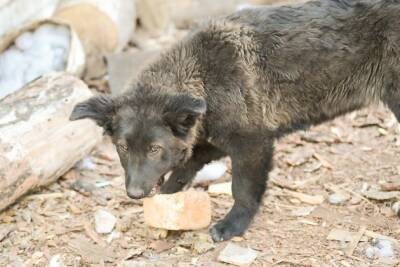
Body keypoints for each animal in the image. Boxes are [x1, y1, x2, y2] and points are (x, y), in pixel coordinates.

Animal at [69, 0, 400, 243]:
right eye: (122, 148)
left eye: (154, 149)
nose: (135, 194)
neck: (204, 77)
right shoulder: (208, 140)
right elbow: (182, 168)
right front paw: (167, 203)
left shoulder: (254, 143)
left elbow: (241, 189)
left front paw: (232, 226)